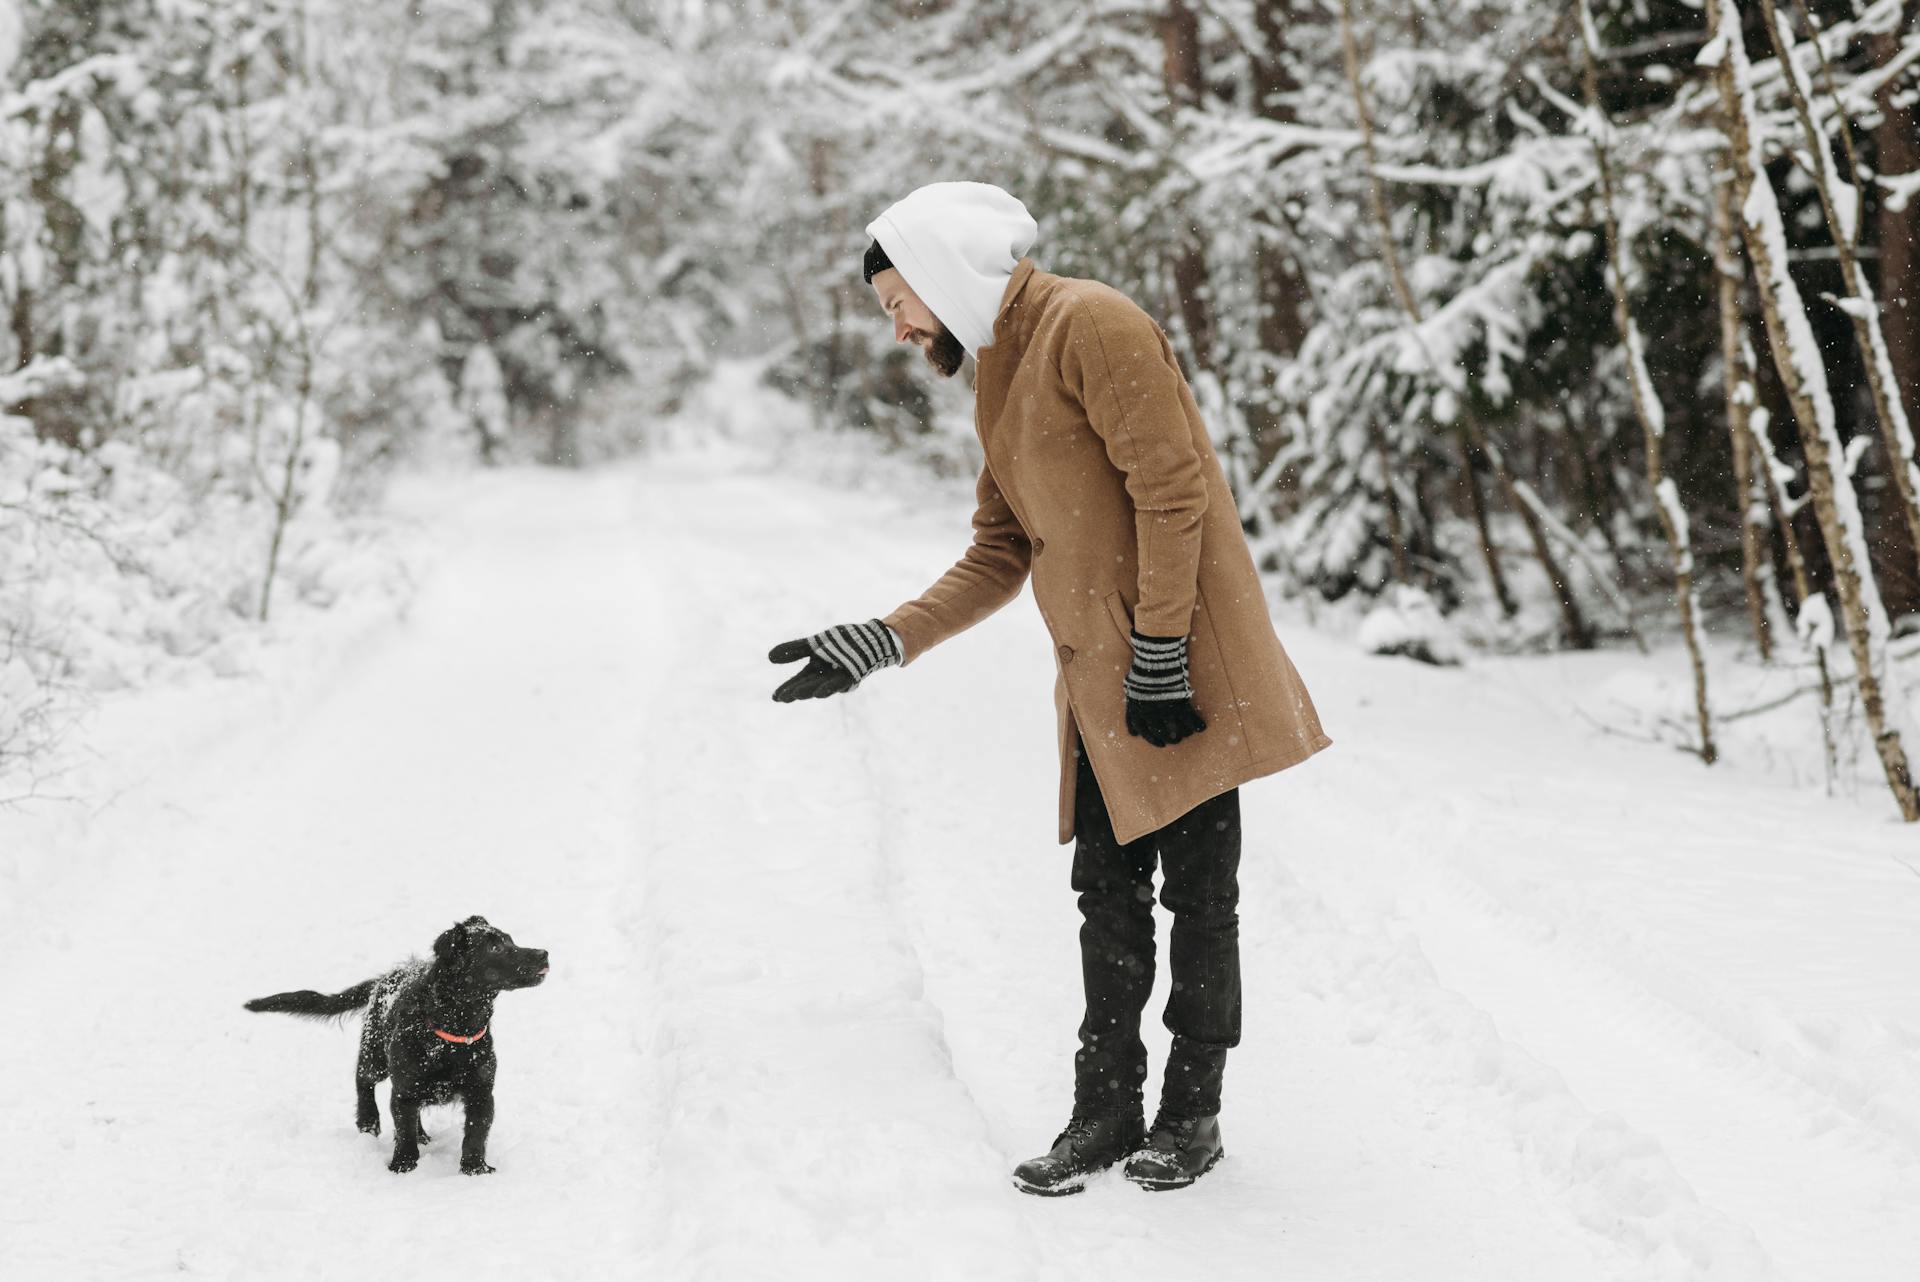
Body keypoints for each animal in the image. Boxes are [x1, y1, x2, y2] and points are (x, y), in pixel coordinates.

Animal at [245, 917, 549, 1174]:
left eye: (511, 940)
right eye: (495, 947)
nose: (544, 953)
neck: (453, 1034)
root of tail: (384, 978)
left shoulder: (481, 1091)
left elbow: (475, 1133)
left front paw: (475, 1169)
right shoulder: (404, 1089)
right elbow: (403, 1132)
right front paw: (403, 1166)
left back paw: (422, 1134)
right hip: (375, 1057)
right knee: (362, 1081)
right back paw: (368, 1121)